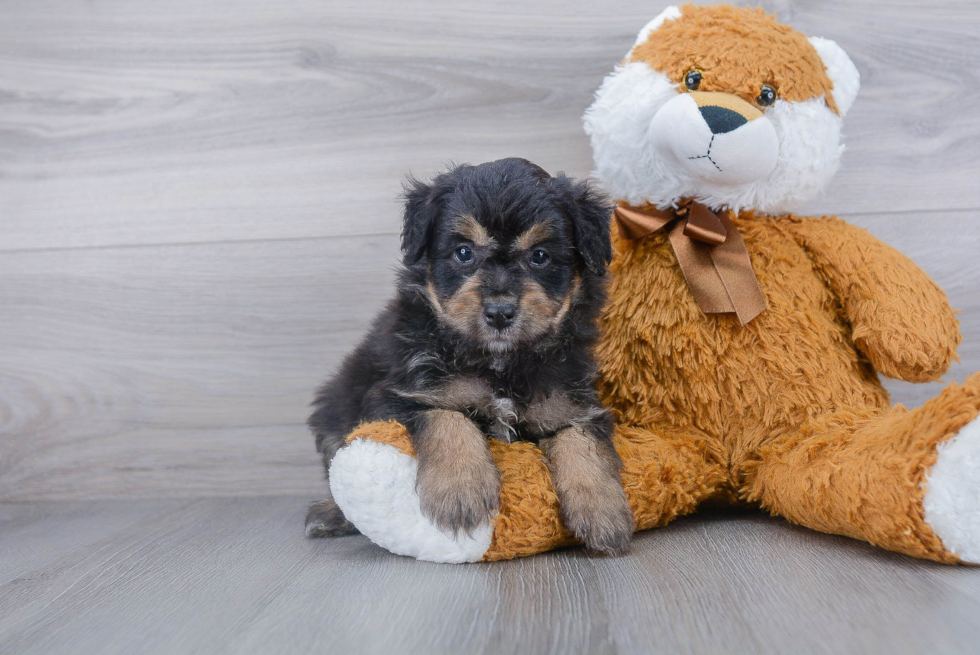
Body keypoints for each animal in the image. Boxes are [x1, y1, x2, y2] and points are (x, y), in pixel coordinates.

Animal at [306, 156, 636, 556]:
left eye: (540, 257)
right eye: (464, 252)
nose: (499, 312)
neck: (500, 365)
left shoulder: (573, 403)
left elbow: (583, 442)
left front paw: (603, 512)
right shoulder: (400, 393)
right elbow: (448, 417)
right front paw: (461, 492)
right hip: (336, 405)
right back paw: (331, 514)